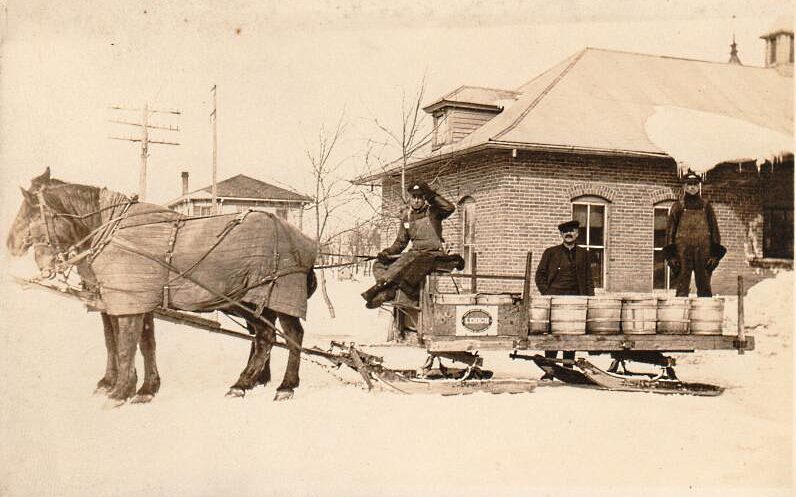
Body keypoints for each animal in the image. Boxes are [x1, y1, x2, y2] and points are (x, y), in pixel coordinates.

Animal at [7, 170, 318, 404]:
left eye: (30, 210)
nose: (10, 245)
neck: (113, 232)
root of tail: (306, 244)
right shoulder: (129, 302)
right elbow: (140, 344)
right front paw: (144, 388)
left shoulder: (127, 302)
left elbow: (124, 344)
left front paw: (120, 390)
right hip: (255, 302)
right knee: (272, 335)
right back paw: (266, 380)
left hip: (271, 297)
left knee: (277, 336)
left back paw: (263, 384)